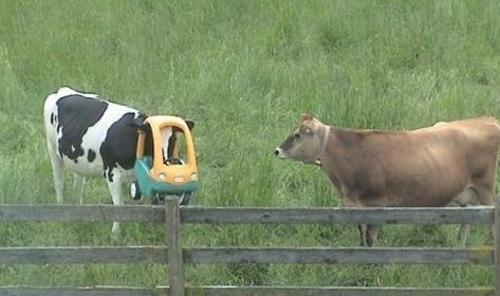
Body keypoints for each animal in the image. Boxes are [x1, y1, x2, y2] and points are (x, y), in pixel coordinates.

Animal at [44, 86, 193, 237]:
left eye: (173, 139)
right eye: (151, 139)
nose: (168, 162)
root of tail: (62, 90)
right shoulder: (112, 172)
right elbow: (118, 204)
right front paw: (115, 233)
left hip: (77, 160)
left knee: (78, 185)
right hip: (53, 150)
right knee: (58, 182)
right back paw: (61, 210)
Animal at [274, 114, 500, 246]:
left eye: (297, 135)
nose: (277, 150)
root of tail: (487, 119)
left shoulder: (376, 204)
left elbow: (371, 236)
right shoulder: (355, 206)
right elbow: (362, 234)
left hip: (485, 188)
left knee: (490, 225)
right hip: (468, 195)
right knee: (466, 223)